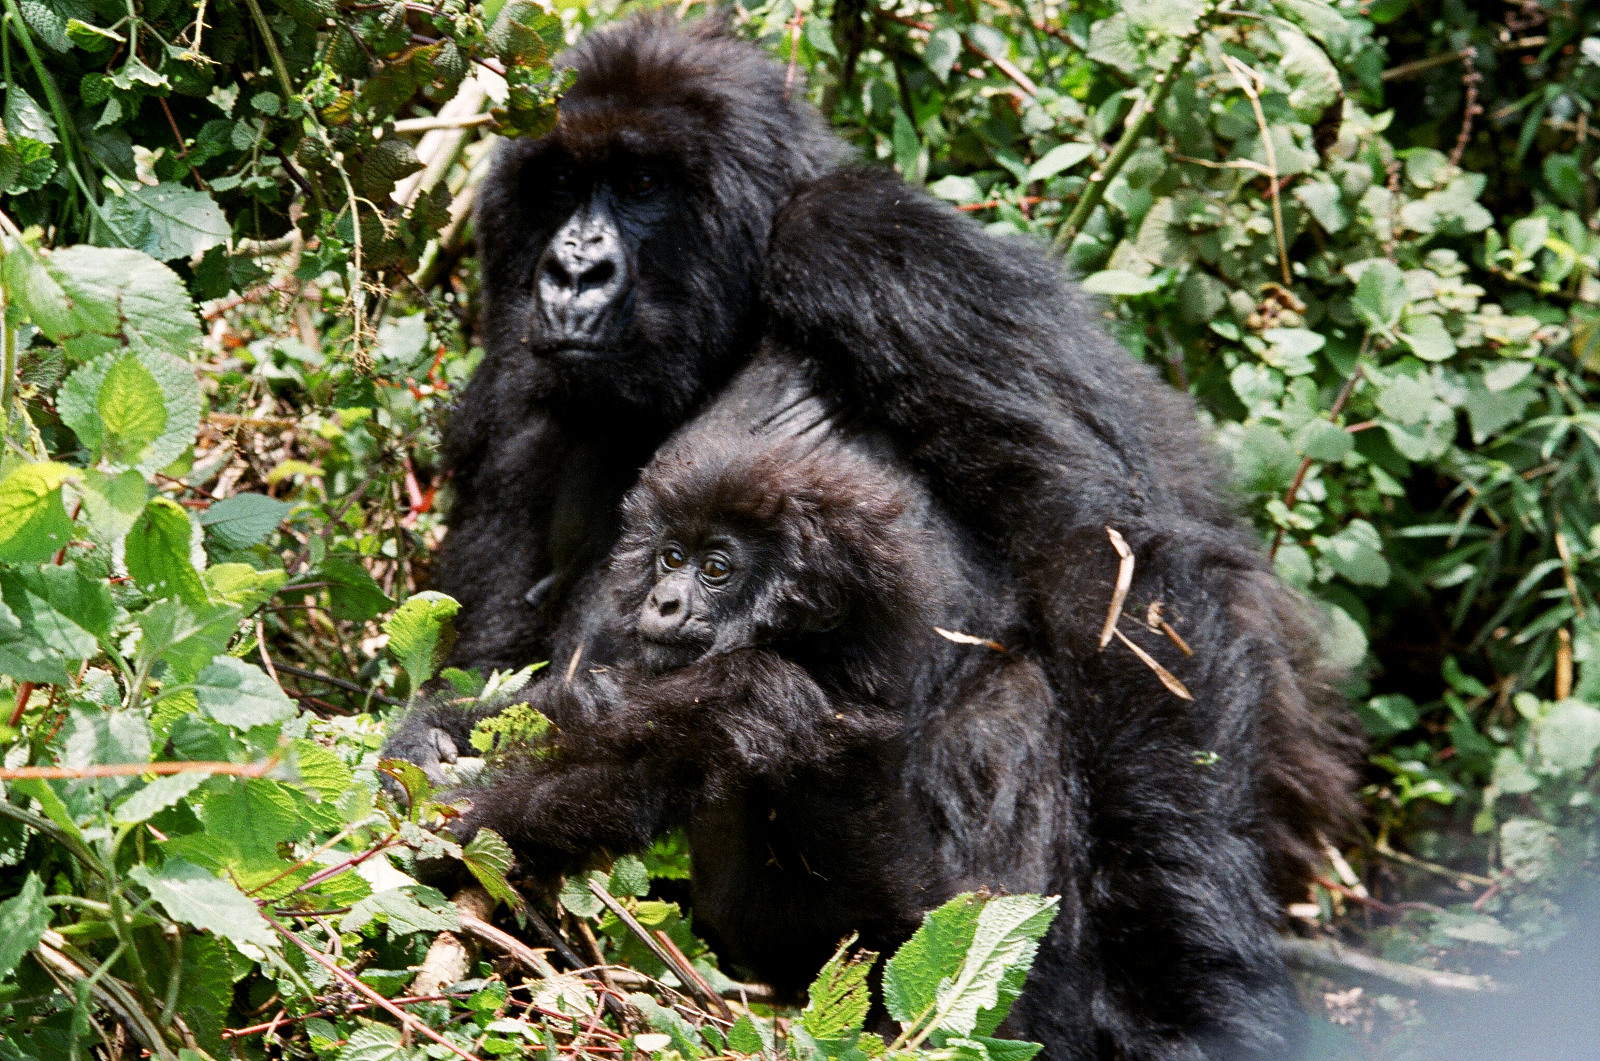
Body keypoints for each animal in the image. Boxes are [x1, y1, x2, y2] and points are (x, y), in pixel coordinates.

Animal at [390, 14, 1363, 1061]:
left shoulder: (869, 241)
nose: (573, 270)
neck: (736, 302)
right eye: (564, 185)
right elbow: (498, 644)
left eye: (643, 183)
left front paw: (1184, 990)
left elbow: (1102, 562)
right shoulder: (516, 365)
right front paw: (439, 743)